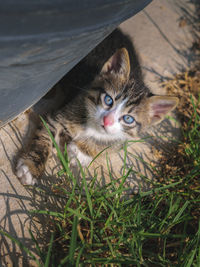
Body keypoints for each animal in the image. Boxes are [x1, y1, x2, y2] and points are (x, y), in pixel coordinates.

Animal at [15, 30, 178, 185]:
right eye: (108, 100)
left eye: (128, 119)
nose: (107, 121)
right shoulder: (59, 115)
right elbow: (44, 138)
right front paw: (31, 168)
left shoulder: (123, 137)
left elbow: (110, 144)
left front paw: (81, 152)